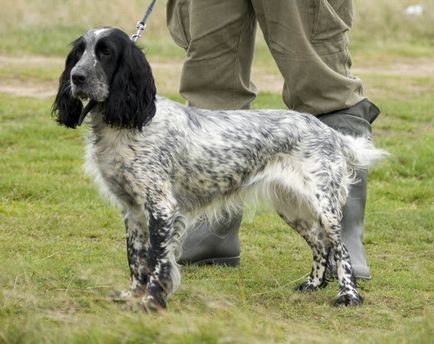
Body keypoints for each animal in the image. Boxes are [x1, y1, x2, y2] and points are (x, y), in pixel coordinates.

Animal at [51, 27, 386, 312]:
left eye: (106, 52)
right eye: (79, 53)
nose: (76, 77)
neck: (126, 123)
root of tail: (329, 131)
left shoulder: (161, 207)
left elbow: (158, 262)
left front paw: (151, 301)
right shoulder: (132, 209)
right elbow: (136, 259)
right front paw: (133, 295)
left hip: (324, 205)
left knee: (340, 249)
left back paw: (348, 295)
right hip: (292, 207)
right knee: (319, 245)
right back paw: (313, 284)